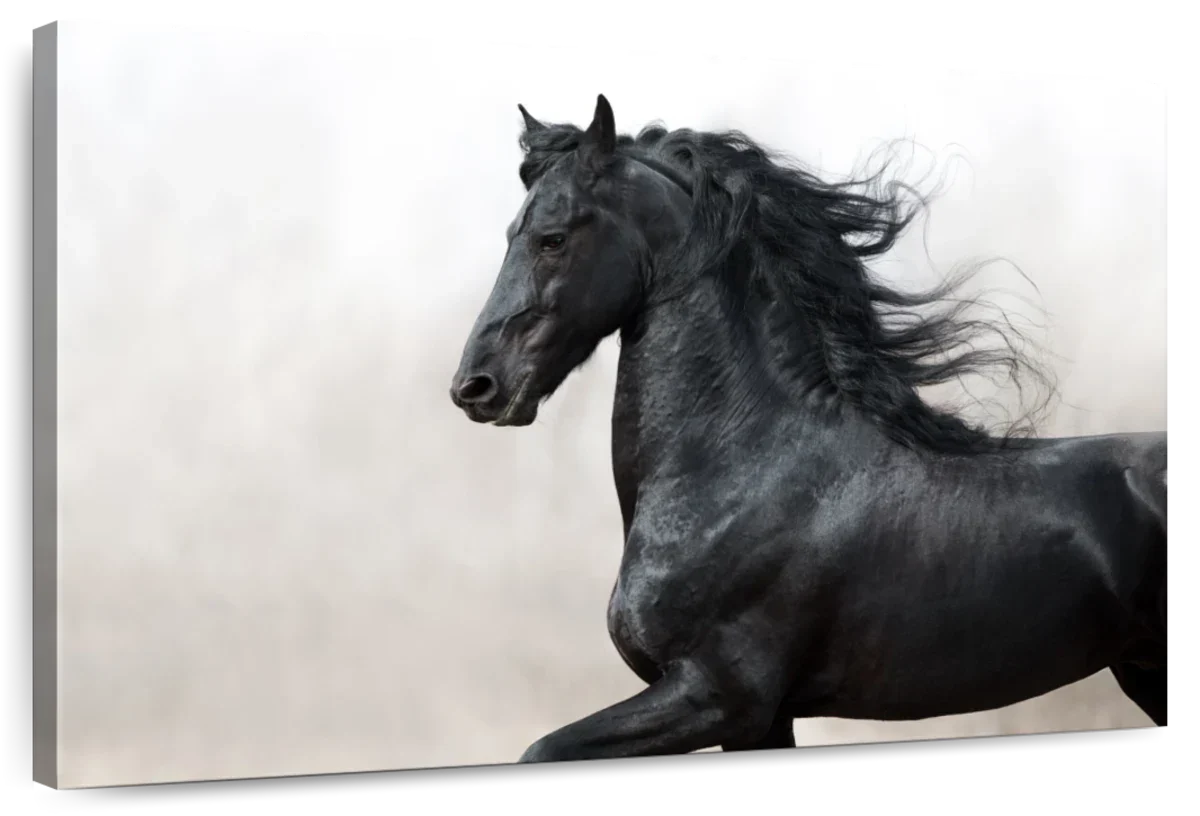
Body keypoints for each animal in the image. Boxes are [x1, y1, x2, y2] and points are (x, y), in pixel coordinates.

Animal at [448, 94, 1168, 762]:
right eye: (514, 233)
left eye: (552, 237)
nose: (475, 386)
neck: (747, 468)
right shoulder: (759, 720)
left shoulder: (718, 697)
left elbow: (542, 749)